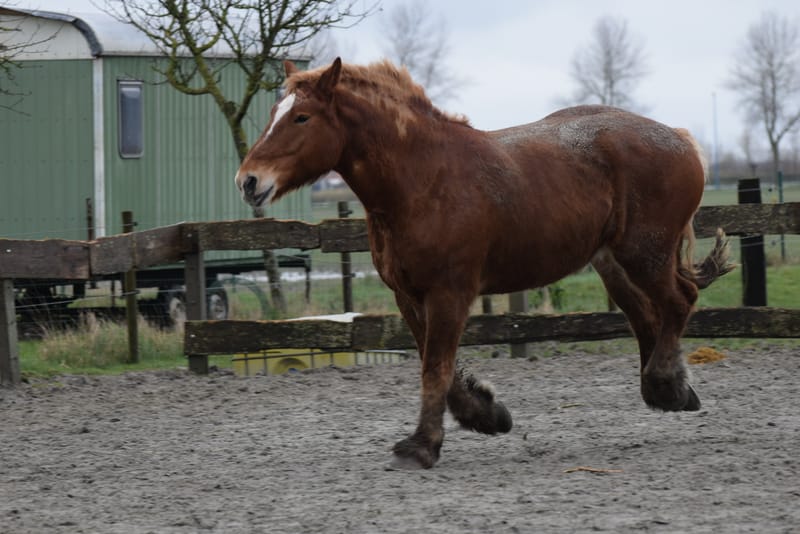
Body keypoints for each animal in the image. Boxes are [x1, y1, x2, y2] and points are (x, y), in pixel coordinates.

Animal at [235, 58, 733, 469]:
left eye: (302, 117)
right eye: (275, 113)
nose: (248, 181)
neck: (423, 180)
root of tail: (680, 139)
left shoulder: (450, 293)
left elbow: (435, 367)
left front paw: (422, 446)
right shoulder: (408, 296)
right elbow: (434, 364)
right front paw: (486, 414)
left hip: (645, 255)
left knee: (679, 302)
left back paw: (665, 383)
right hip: (614, 264)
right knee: (647, 315)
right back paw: (670, 391)